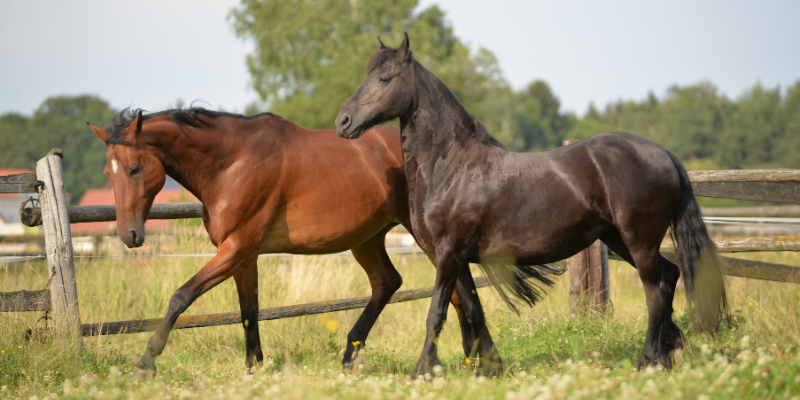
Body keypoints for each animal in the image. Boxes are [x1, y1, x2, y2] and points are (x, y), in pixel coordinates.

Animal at [87, 108, 500, 376]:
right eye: (107, 172)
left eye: (134, 168)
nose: (130, 235)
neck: (231, 163)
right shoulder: (243, 255)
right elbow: (249, 309)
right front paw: (253, 365)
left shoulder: (235, 248)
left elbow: (181, 296)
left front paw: (146, 363)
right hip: (367, 238)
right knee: (392, 284)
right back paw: (359, 355)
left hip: (421, 235)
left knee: (459, 290)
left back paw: (467, 361)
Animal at [334, 34, 728, 376]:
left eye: (384, 78)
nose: (343, 121)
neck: (452, 167)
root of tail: (662, 154)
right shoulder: (456, 257)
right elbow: (474, 309)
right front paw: (491, 368)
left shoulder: (448, 252)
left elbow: (436, 312)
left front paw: (424, 370)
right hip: (619, 240)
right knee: (670, 277)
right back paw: (668, 352)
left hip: (639, 241)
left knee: (656, 292)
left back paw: (648, 359)